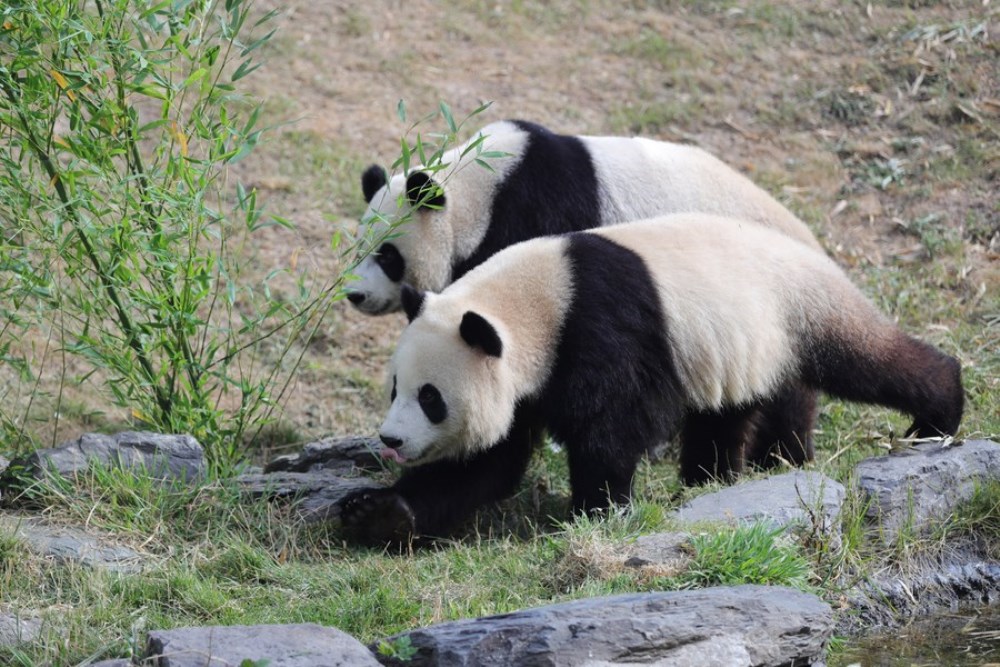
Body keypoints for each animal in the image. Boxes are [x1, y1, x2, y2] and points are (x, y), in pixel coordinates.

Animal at [339, 213, 964, 547]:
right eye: (394, 388)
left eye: (431, 398)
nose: (391, 439)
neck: (536, 301)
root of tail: (809, 249)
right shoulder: (521, 377)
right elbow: (488, 463)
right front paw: (379, 513)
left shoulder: (599, 328)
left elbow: (611, 426)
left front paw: (596, 511)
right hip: (744, 343)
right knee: (735, 409)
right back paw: (720, 476)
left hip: (798, 308)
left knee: (865, 362)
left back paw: (938, 415)